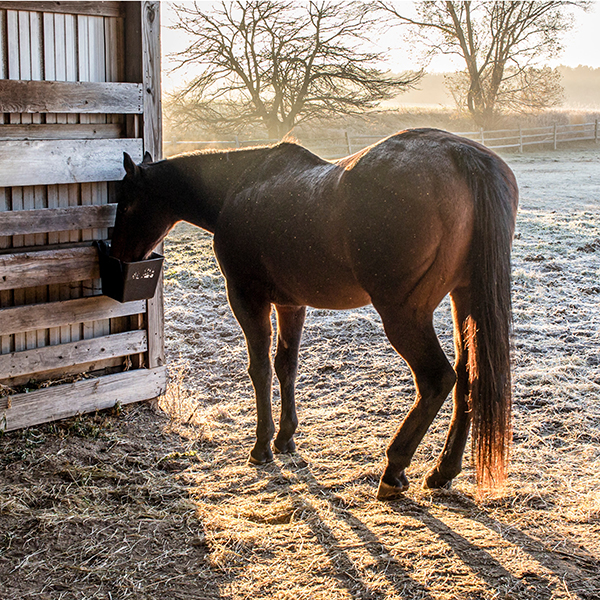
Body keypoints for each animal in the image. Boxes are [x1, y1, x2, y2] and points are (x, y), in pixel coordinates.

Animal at [111, 129, 520, 500]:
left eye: (127, 204)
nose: (117, 256)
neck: (238, 188)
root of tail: (462, 156)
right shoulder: (291, 304)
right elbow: (286, 366)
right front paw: (285, 438)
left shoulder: (246, 298)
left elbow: (260, 368)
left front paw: (261, 446)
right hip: (464, 298)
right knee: (469, 376)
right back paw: (442, 471)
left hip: (404, 314)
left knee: (437, 379)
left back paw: (394, 469)